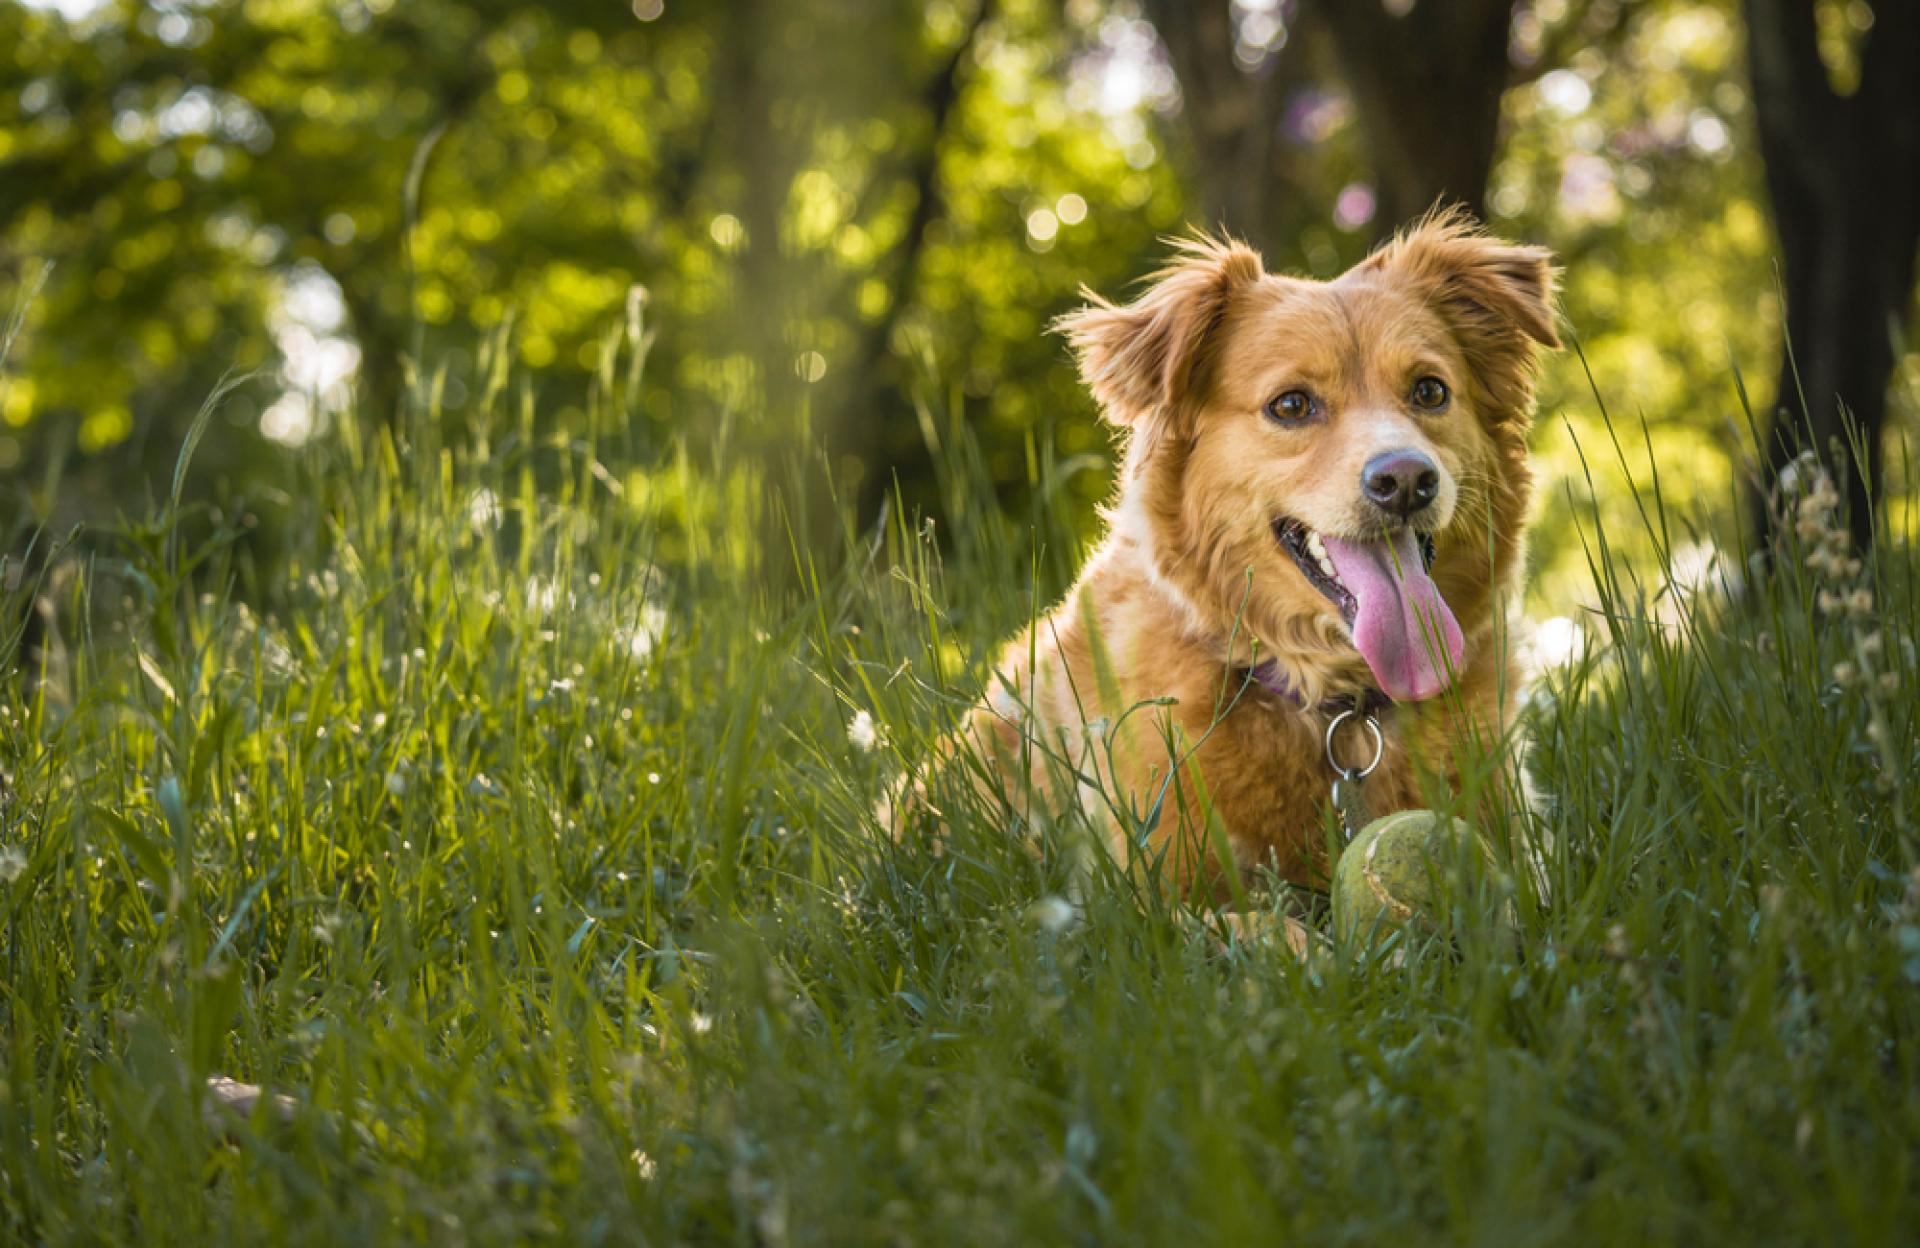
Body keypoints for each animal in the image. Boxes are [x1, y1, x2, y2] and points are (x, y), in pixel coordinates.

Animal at [940, 211, 1559, 902]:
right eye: (1291, 405)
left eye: (1429, 391)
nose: (1406, 480)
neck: (1339, 705)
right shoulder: (1156, 894)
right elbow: (1266, 923)